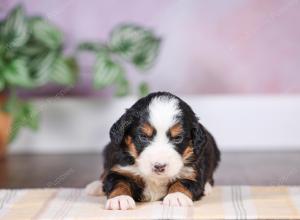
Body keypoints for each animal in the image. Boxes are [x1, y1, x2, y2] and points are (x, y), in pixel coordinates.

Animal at [86, 91, 220, 210]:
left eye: (177, 138)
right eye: (143, 137)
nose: (159, 166)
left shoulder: (191, 172)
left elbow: (183, 183)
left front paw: (176, 197)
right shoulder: (120, 168)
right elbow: (118, 182)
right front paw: (119, 199)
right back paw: (95, 187)